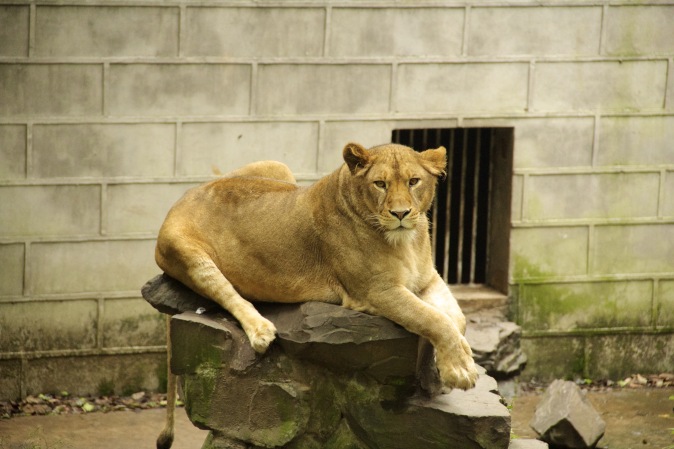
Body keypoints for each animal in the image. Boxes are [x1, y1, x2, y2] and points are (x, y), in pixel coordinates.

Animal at [154, 143, 479, 449]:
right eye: (380, 184)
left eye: (413, 181)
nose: (401, 214)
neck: (407, 241)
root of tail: (181, 197)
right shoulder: (376, 291)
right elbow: (433, 319)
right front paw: (461, 371)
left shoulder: (428, 279)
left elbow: (456, 319)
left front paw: (444, 371)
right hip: (188, 253)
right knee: (230, 295)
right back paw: (261, 331)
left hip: (277, 167)